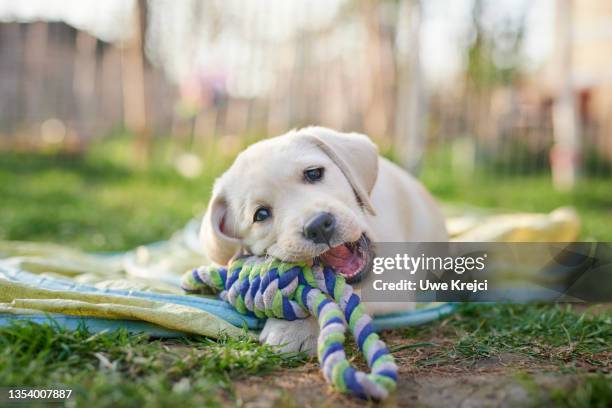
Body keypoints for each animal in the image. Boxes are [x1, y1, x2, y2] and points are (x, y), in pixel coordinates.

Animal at [201, 127, 444, 354]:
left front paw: (295, 329)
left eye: (314, 173)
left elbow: (339, 297)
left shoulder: (393, 284)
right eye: (260, 214)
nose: (318, 226)